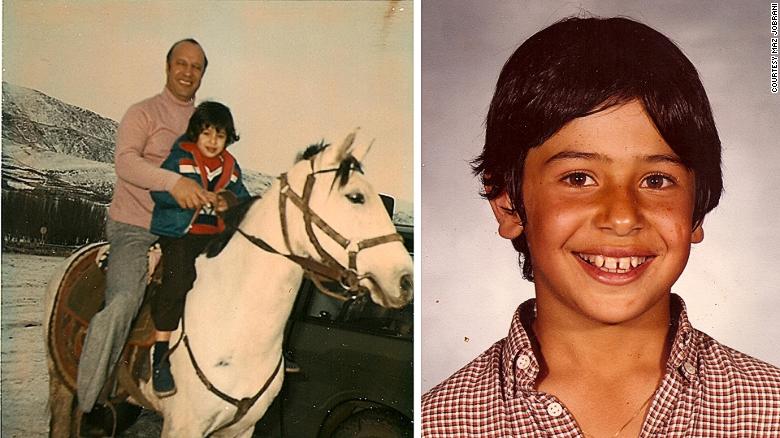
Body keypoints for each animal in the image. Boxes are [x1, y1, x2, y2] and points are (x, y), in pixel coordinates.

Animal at [45, 132, 414, 436]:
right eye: (356, 197)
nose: (406, 279)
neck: (235, 322)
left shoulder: (241, 429)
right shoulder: (184, 428)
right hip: (62, 384)